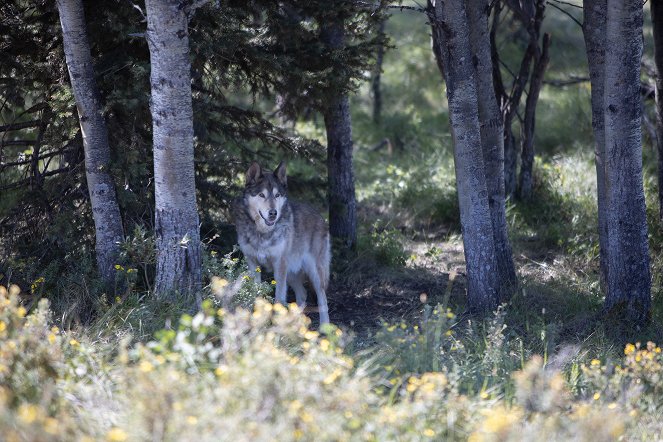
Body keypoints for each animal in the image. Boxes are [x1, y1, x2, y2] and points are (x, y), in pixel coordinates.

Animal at [233, 161, 332, 322]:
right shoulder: (253, 263)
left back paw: (324, 325)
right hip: (291, 272)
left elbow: (279, 299)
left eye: (277, 195)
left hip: (313, 272)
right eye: (262, 195)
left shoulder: (279, 265)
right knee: (302, 294)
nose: (273, 213)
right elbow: (255, 294)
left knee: (322, 298)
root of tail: (321, 217)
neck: (263, 233)